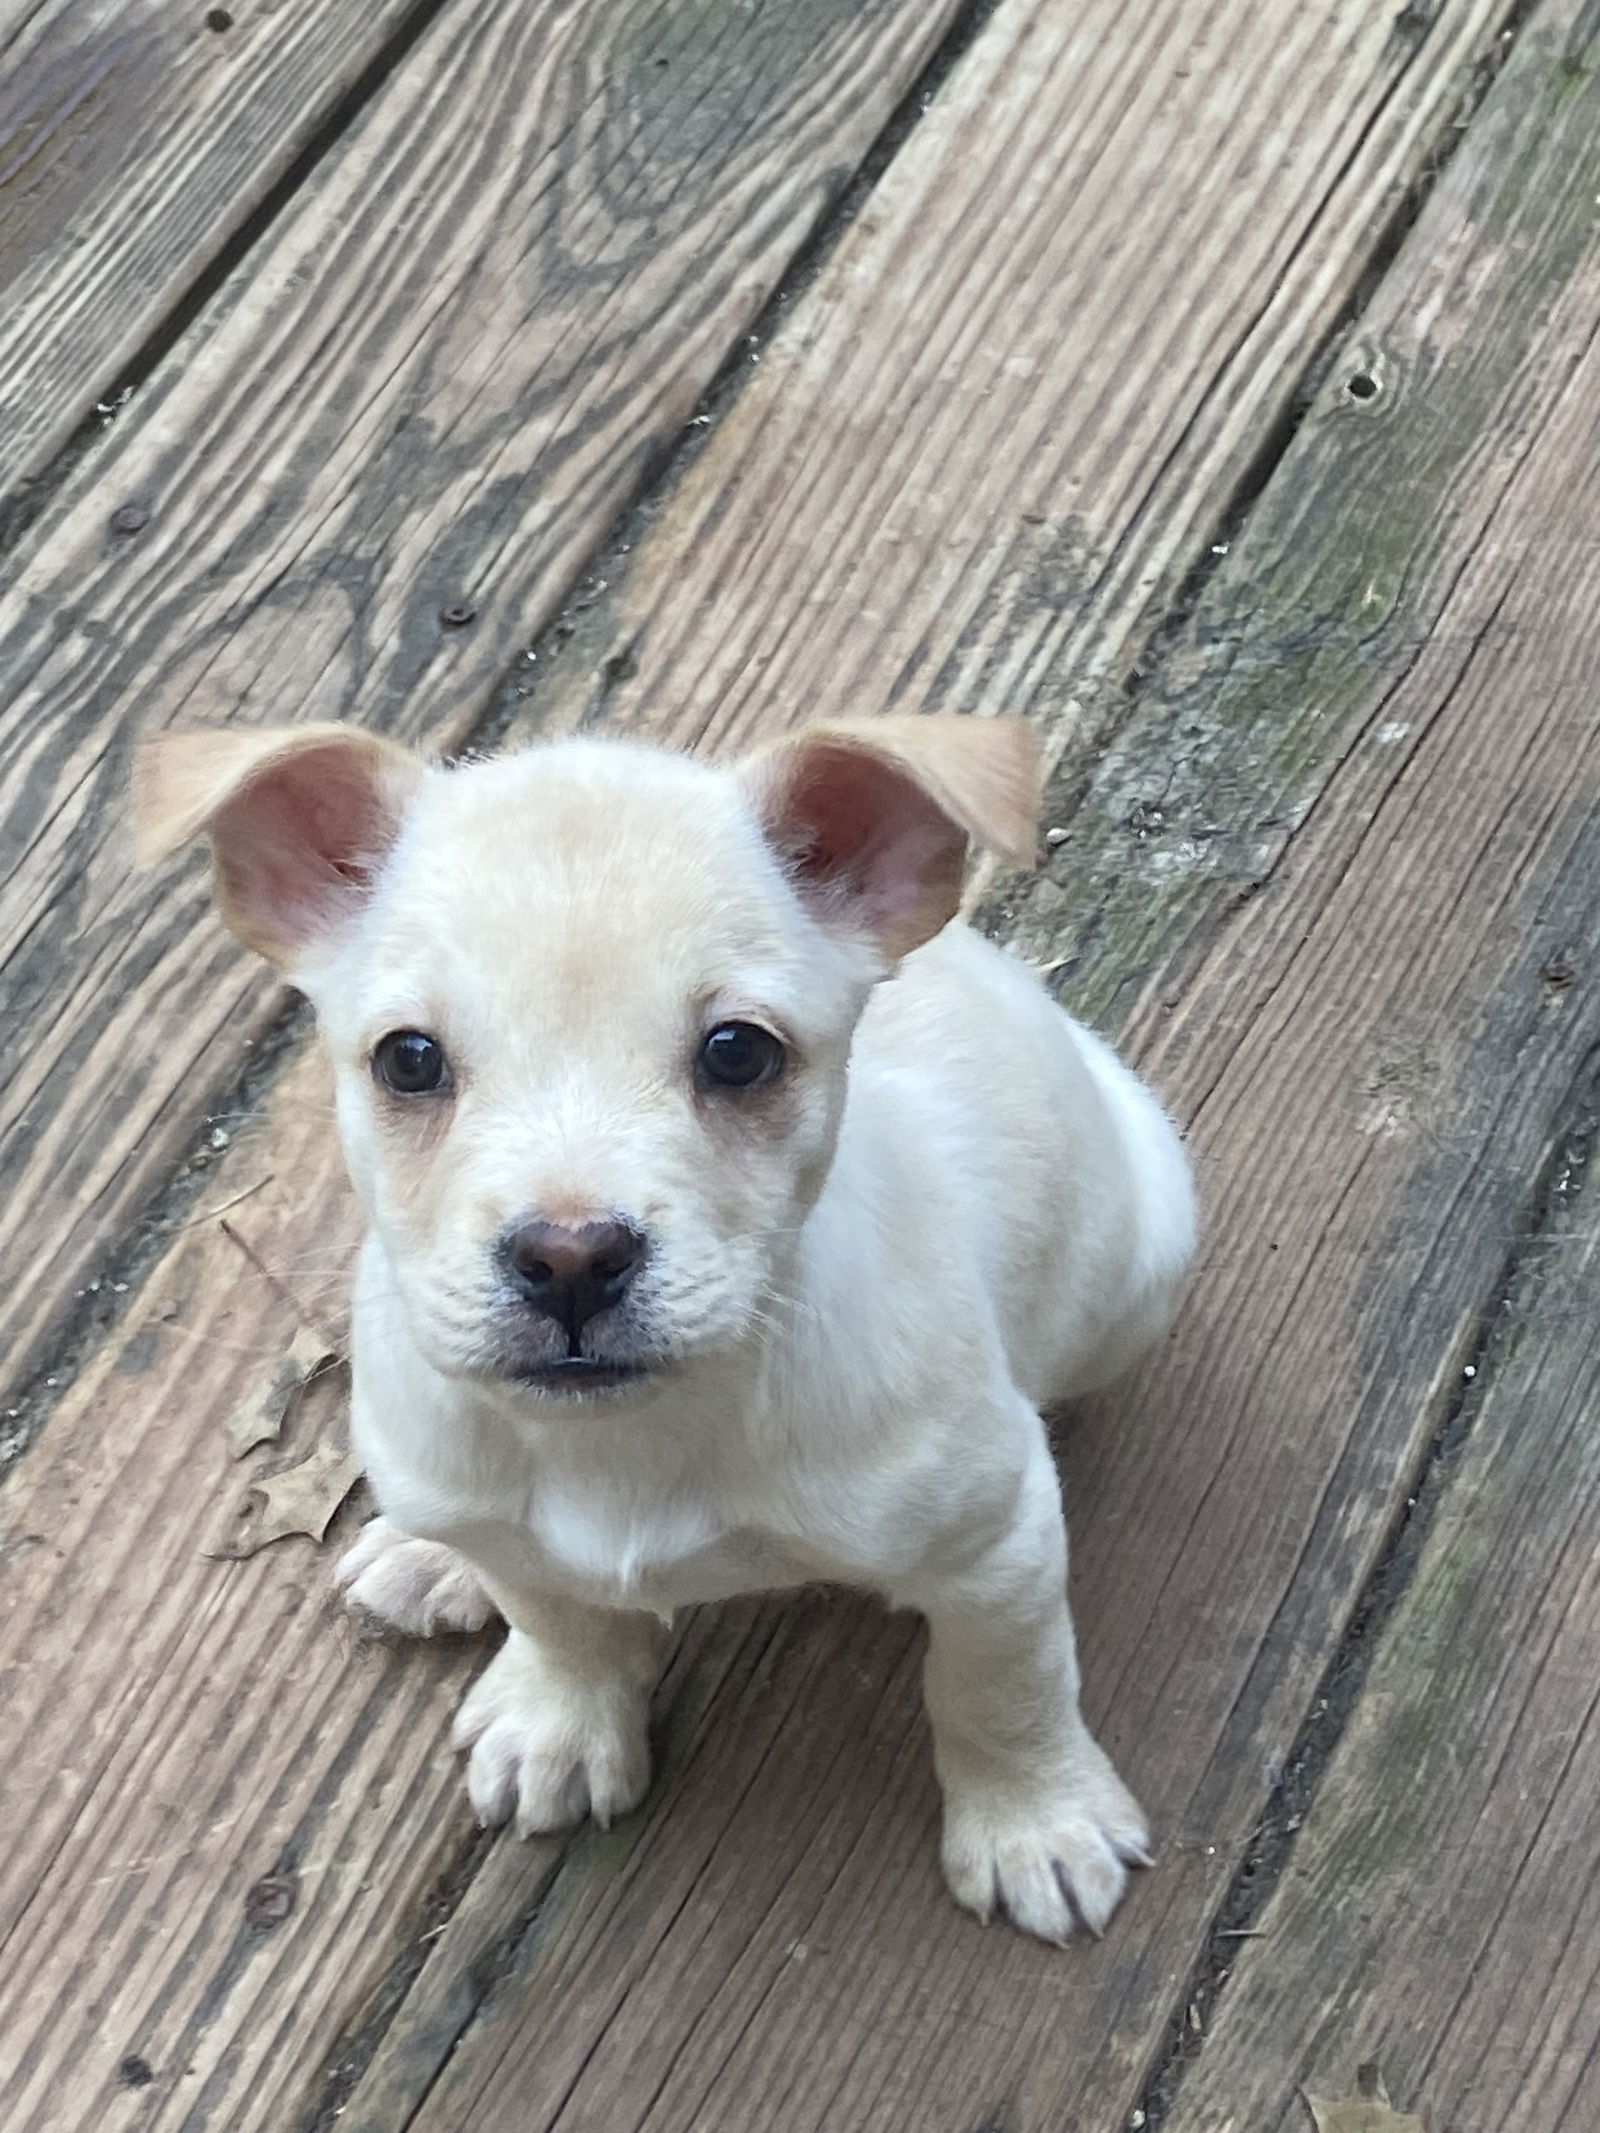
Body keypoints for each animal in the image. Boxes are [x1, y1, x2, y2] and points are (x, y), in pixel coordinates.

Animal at [134, 720, 1194, 1953]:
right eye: (409, 1059)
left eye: (737, 1051)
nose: (569, 1260)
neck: (628, 1440)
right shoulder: (514, 1529)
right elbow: (557, 1616)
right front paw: (562, 1717)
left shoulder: (996, 1547)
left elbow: (1001, 1688)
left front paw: (1037, 1821)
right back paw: (426, 1555)